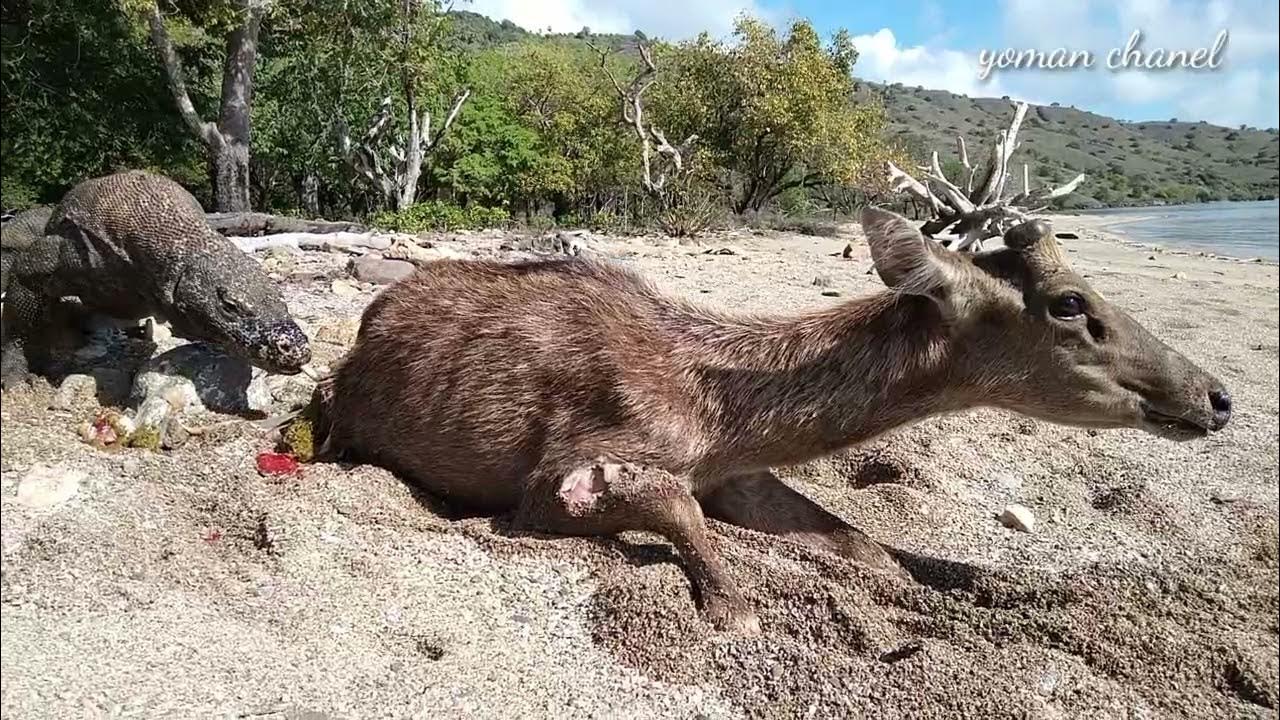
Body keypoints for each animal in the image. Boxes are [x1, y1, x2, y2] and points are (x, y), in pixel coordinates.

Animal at [309, 207, 1233, 635]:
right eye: (1071, 304)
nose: (1219, 397)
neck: (719, 418)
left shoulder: (738, 472)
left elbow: (859, 542)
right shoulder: (555, 473)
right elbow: (673, 506)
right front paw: (733, 609)